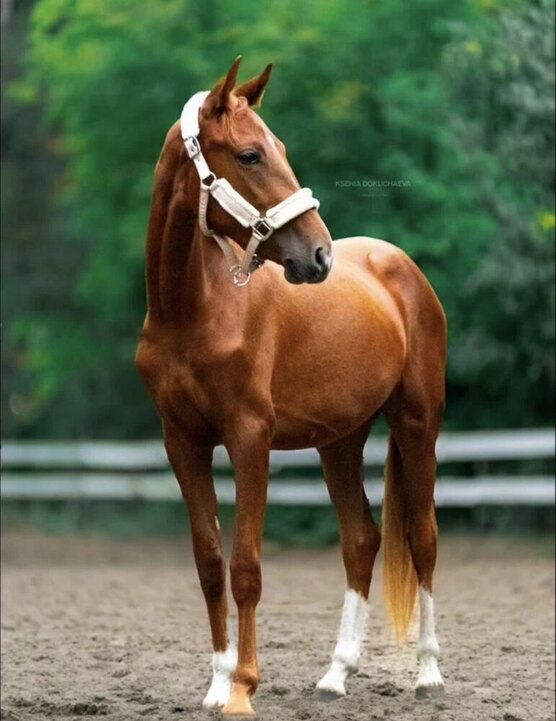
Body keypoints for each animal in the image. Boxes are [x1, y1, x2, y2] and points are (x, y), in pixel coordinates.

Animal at [135, 57, 447, 717]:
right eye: (250, 155)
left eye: (278, 148)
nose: (320, 256)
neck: (193, 311)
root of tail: (399, 266)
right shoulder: (183, 442)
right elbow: (209, 561)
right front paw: (217, 683)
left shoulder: (250, 438)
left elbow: (247, 565)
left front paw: (244, 688)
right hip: (341, 441)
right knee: (361, 541)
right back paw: (335, 674)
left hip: (417, 423)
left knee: (423, 537)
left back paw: (430, 674)